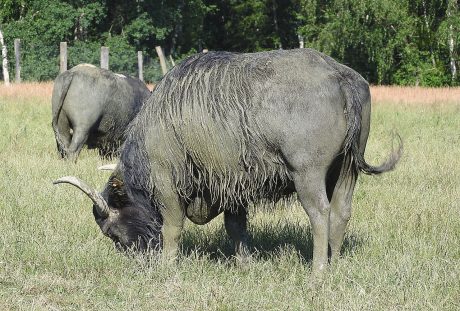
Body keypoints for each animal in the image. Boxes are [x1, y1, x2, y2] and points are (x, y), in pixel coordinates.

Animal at [54, 49, 400, 278]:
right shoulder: (234, 186)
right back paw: (335, 262)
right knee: (341, 212)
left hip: (308, 174)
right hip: (346, 170)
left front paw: (167, 266)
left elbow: (172, 228)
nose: (138, 262)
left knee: (320, 214)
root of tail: (340, 75)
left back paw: (318, 271)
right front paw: (245, 263)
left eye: (113, 233)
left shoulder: (167, 183)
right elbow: (236, 227)